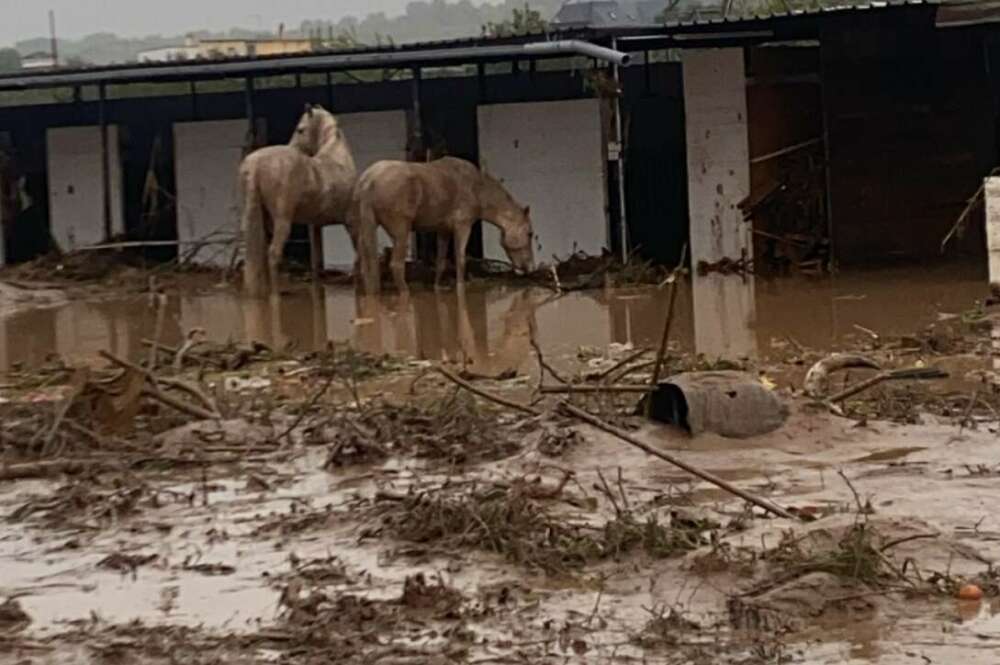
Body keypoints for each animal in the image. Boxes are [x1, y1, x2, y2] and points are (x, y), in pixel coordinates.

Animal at [237, 105, 356, 296]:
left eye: (300, 129)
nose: (291, 146)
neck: (338, 160)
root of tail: (255, 164)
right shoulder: (350, 222)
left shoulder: (315, 226)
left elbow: (316, 263)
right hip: (282, 222)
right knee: (273, 254)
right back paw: (275, 293)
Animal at [350, 157, 536, 294]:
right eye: (530, 234)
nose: (530, 268)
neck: (477, 189)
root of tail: (368, 181)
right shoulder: (462, 226)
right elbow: (460, 260)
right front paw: (461, 288)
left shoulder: (443, 231)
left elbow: (441, 262)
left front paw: (438, 288)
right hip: (401, 232)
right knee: (396, 265)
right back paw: (405, 292)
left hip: (365, 230)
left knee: (365, 266)